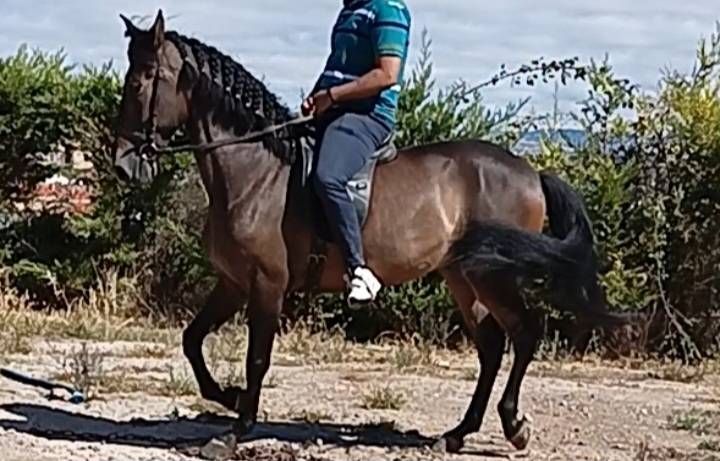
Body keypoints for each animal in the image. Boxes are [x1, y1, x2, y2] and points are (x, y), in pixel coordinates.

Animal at [113, 10, 626, 453]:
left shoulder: (266, 284)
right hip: (464, 276)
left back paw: (513, 424)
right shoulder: (233, 283)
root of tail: (530, 171)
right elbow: (192, 340)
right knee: (492, 346)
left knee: (524, 333)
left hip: (492, 276)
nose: (123, 165)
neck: (256, 171)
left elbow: (257, 357)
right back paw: (457, 434)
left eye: (139, 81)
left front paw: (235, 431)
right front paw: (229, 397)